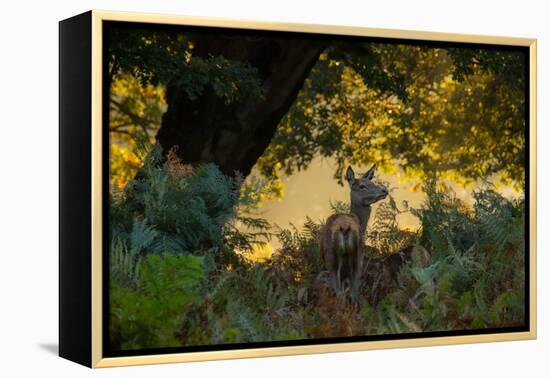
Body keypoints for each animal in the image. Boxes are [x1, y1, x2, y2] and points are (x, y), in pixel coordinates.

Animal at [322, 165, 390, 302]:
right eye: (362, 186)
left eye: (372, 182)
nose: (384, 190)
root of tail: (344, 228)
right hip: (356, 254)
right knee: (352, 293)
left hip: (331, 258)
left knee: (340, 292)